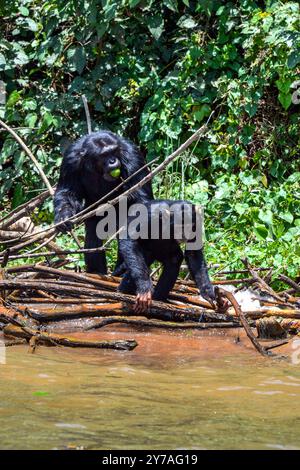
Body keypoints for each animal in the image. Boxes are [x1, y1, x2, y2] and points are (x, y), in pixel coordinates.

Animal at [53, 130, 152, 274]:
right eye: (104, 155)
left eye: (114, 151)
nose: (112, 160)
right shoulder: (70, 160)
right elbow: (67, 192)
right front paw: (64, 217)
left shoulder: (132, 156)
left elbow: (140, 200)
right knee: (93, 235)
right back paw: (96, 272)